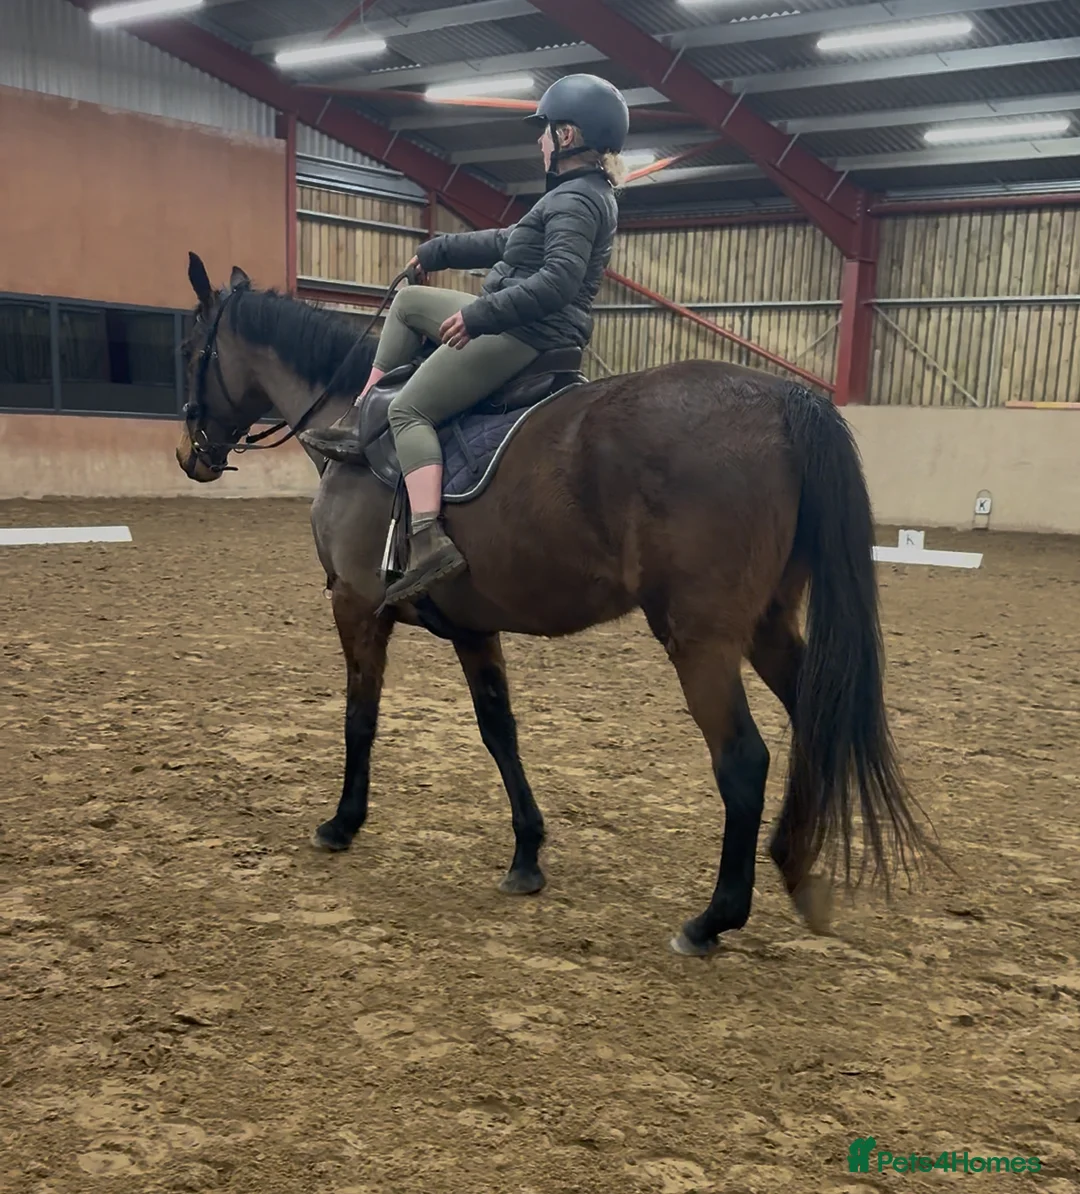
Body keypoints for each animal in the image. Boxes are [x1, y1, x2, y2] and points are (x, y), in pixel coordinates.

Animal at [177, 253, 926, 956]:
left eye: (191, 352)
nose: (190, 455)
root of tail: (784, 400)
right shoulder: (473, 629)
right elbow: (498, 731)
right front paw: (527, 855)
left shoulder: (357, 605)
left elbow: (360, 719)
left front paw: (342, 823)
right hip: (768, 628)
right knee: (817, 723)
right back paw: (799, 870)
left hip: (702, 642)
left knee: (743, 762)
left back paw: (713, 919)